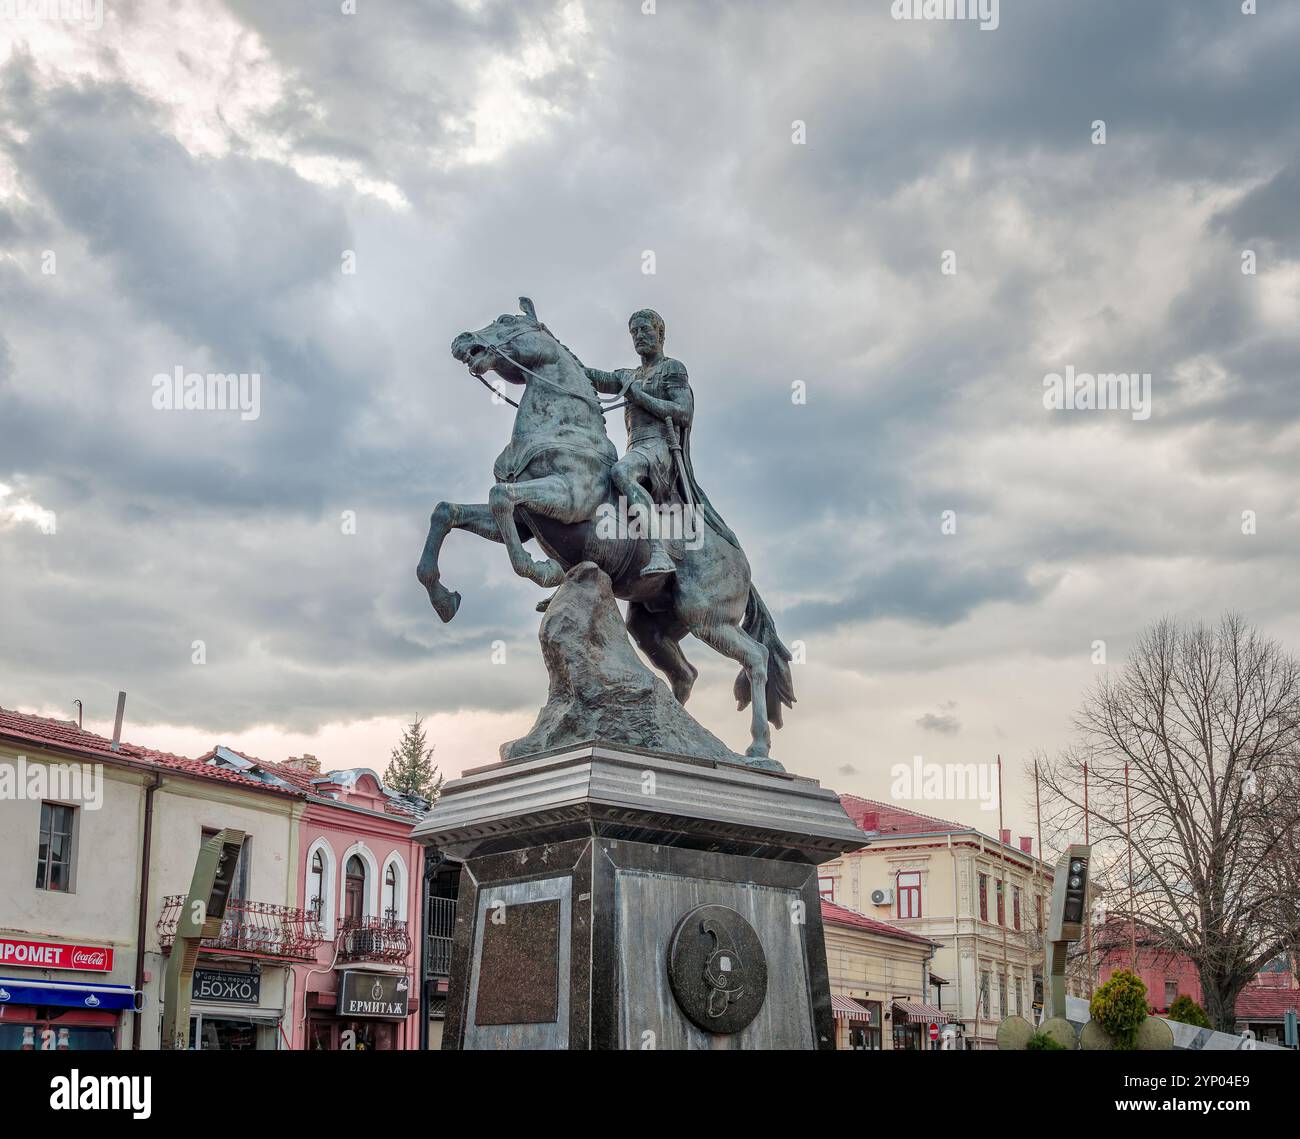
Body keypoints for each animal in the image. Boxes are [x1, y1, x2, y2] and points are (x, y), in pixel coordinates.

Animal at [416, 297, 790, 759]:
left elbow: (499, 496)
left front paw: (543, 571)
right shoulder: (523, 520)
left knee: (756, 657)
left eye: (504, 320)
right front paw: (442, 597)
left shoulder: (567, 498)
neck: (563, 429)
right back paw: (674, 741)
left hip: (708, 618)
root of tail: (743, 565)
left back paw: (757, 751)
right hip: (653, 628)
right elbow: (447, 511)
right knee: (685, 674)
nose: (462, 341)